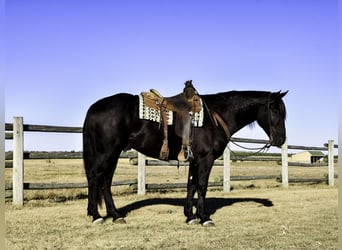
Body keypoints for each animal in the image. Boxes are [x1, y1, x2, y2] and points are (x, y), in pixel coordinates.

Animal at [84, 89, 288, 225]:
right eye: (275, 110)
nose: (281, 139)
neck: (216, 116)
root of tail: (94, 107)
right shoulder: (206, 159)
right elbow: (202, 186)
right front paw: (204, 218)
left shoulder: (194, 160)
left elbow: (191, 186)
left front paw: (190, 216)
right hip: (106, 152)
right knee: (95, 178)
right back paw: (96, 216)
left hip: (113, 154)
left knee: (105, 181)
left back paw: (115, 215)